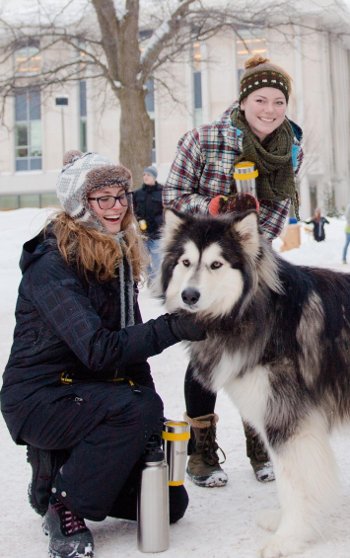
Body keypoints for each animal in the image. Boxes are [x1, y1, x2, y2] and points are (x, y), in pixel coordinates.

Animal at [161, 210, 350, 558]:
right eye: (185, 262)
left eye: (216, 264)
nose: (189, 295)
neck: (258, 312)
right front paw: (282, 523)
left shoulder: (287, 421)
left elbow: (292, 485)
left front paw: (288, 537)